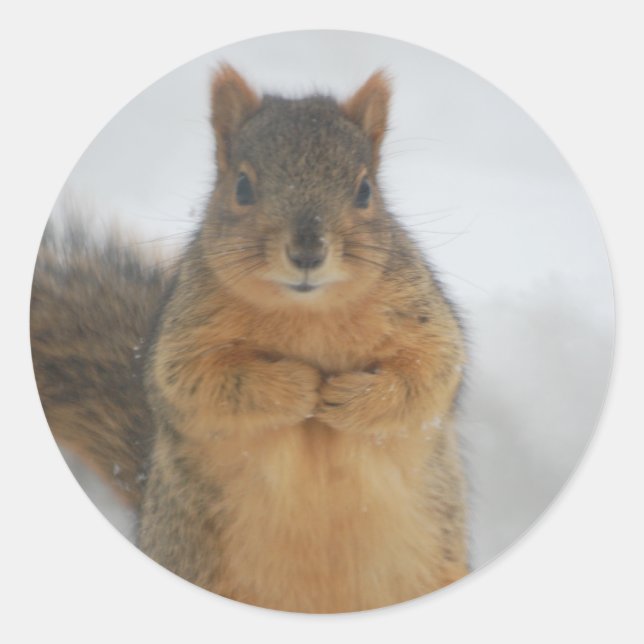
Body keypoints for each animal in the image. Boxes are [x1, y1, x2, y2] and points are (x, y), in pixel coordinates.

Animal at [31, 65, 468, 613]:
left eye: (365, 191)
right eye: (241, 187)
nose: (307, 252)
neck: (308, 314)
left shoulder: (423, 317)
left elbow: (428, 377)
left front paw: (347, 397)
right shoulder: (183, 339)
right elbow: (200, 383)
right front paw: (299, 386)